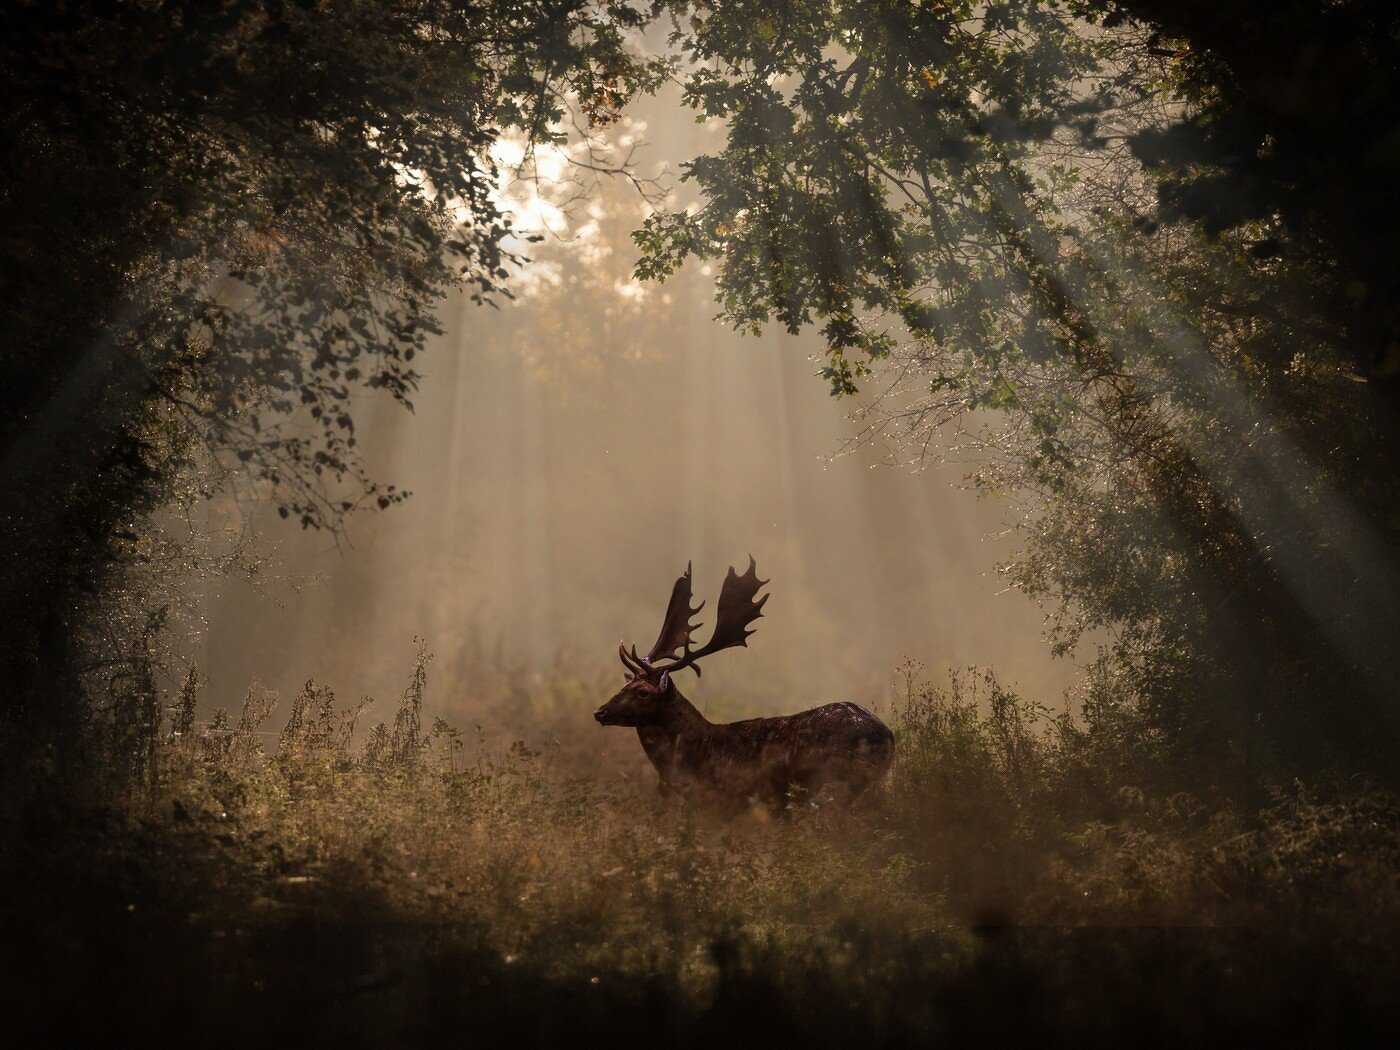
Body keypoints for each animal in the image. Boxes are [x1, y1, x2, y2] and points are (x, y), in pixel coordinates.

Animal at [594, 557, 894, 810]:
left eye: (643, 692)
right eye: (626, 684)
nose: (600, 712)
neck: (699, 754)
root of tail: (888, 736)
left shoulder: (730, 802)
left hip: (837, 780)